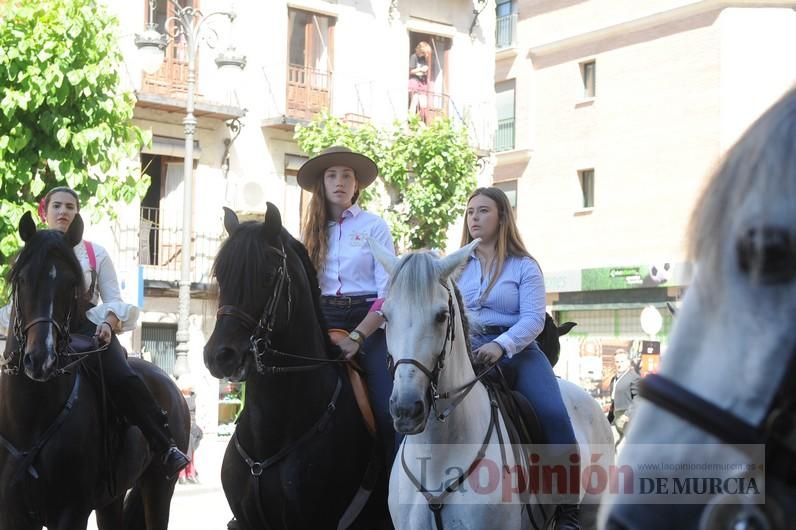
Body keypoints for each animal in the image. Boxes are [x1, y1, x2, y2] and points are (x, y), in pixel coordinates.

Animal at [0, 211, 190, 528]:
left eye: (71, 284)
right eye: (22, 279)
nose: (40, 360)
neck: (31, 418)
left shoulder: (71, 511)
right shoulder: (13, 513)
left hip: (159, 486)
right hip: (112, 498)